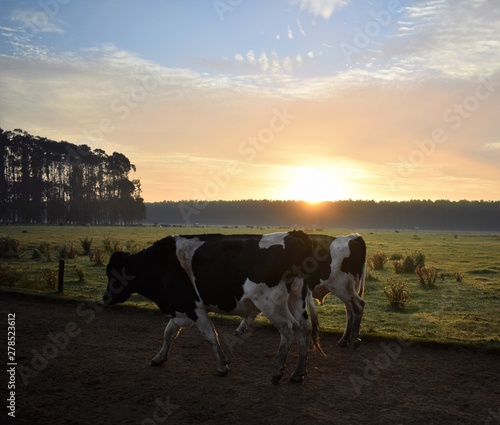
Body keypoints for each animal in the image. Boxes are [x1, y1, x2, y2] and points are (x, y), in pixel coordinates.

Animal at [103, 230, 318, 382]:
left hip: (271, 304)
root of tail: (294, 235)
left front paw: (222, 366)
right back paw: (298, 372)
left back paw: (277, 370)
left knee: (288, 329)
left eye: (113, 275)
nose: (105, 298)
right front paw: (159, 357)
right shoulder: (180, 309)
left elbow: (210, 335)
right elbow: (168, 333)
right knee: (304, 329)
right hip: (296, 299)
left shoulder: (194, 308)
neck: (162, 264)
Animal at [236, 235, 366, 348]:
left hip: (341, 287)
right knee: (350, 310)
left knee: (358, 305)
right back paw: (344, 340)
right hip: (348, 289)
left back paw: (354, 339)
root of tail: (352, 237)